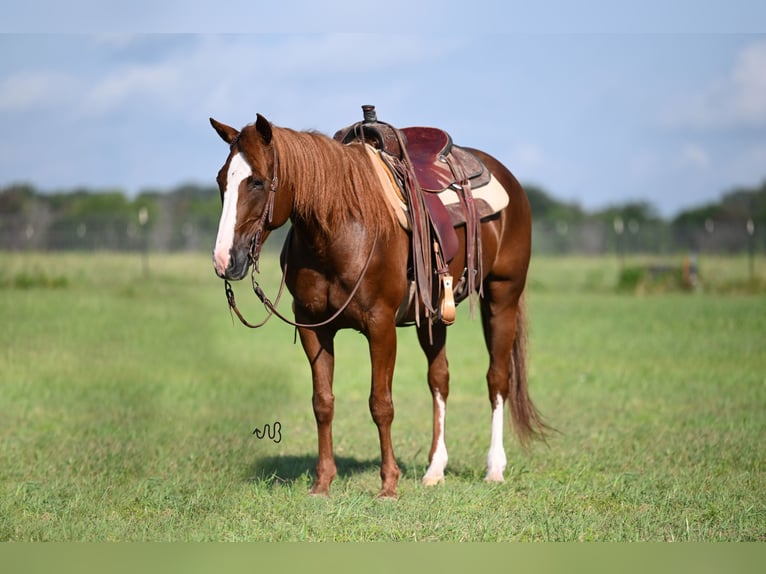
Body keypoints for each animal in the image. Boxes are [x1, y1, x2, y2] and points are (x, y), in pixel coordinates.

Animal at [210, 112, 544, 500]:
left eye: (258, 182)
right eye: (222, 180)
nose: (224, 259)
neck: (341, 228)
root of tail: (509, 180)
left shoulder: (380, 325)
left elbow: (381, 404)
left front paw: (388, 485)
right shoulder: (313, 326)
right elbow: (322, 402)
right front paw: (322, 483)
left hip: (503, 296)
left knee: (497, 378)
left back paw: (494, 468)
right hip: (433, 316)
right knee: (440, 379)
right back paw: (435, 469)